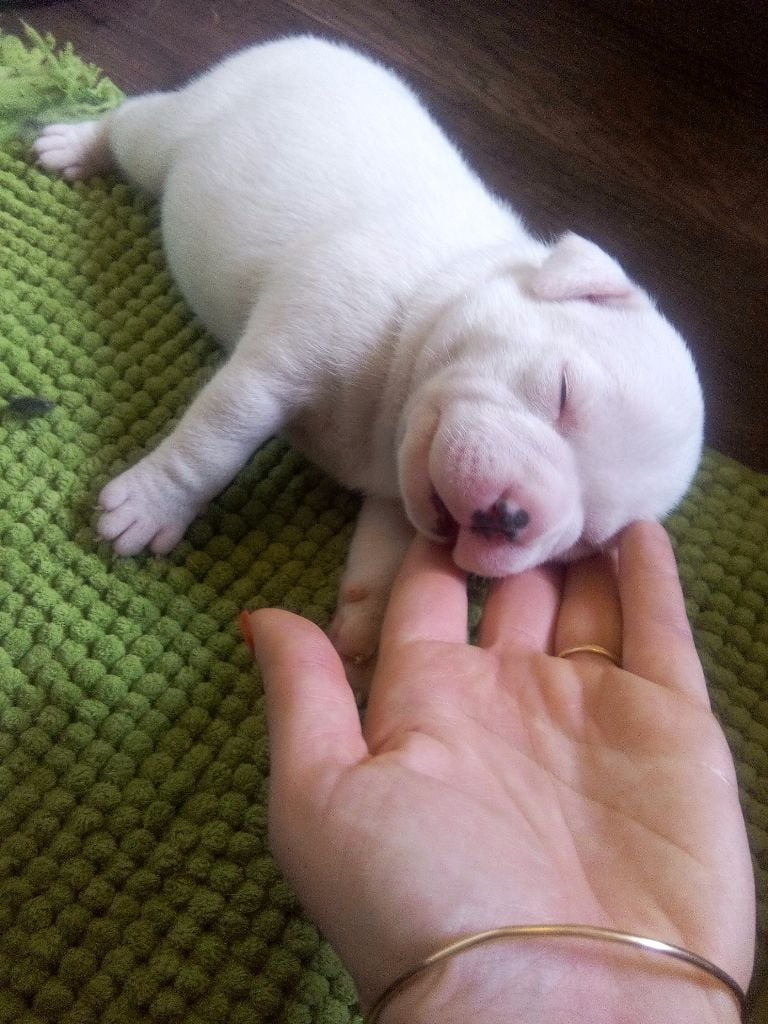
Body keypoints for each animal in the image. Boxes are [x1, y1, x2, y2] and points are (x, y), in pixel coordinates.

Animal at [34, 36, 704, 694]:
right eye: (561, 393)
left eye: (588, 539)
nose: (514, 518)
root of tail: (312, 42)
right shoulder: (278, 365)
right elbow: (216, 442)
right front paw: (151, 507)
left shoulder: (396, 502)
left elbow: (384, 566)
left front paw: (364, 649)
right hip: (180, 128)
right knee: (134, 123)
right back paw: (76, 143)